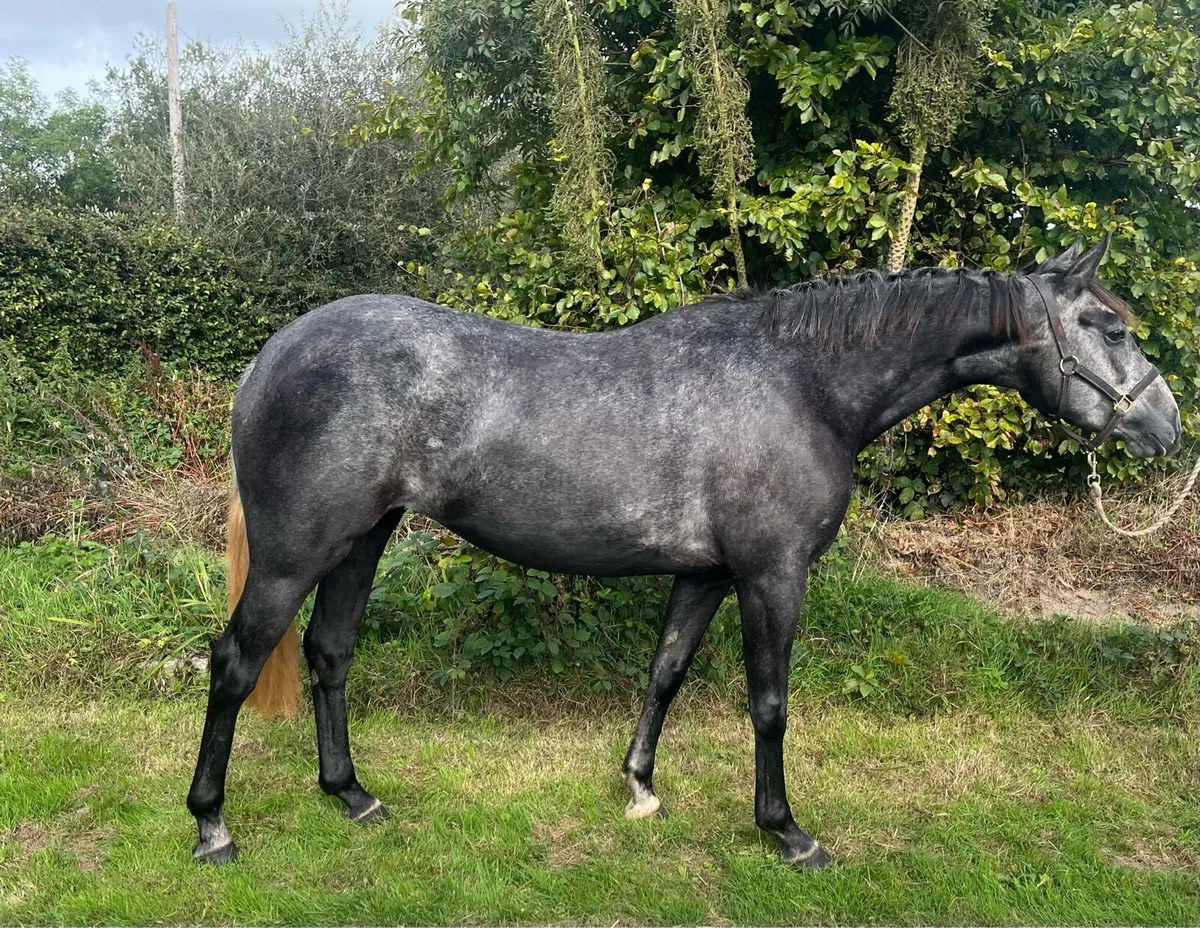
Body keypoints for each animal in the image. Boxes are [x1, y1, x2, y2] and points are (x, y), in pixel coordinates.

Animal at [187, 235, 1181, 868]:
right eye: (1112, 328)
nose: (1169, 428)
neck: (804, 384)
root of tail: (271, 356)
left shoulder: (705, 574)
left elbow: (665, 672)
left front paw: (639, 787)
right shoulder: (772, 575)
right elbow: (769, 705)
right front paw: (787, 833)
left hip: (363, 539)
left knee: (329, 654)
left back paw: (351, 795)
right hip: (295, 554)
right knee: (235, 662)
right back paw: (212, 828)